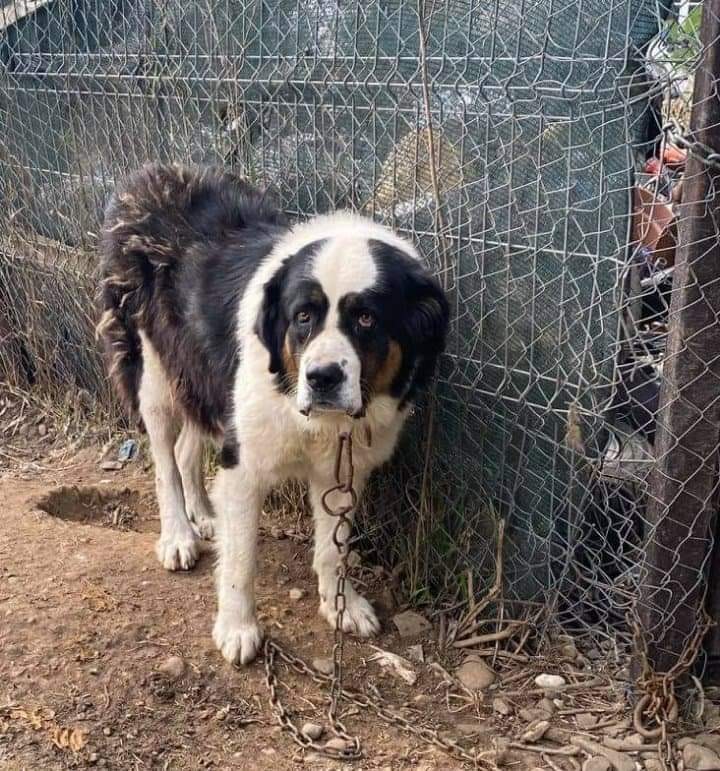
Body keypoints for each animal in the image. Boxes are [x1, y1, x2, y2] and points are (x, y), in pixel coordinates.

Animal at [98, 164, 448, 664]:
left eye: (366, 319)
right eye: (303, 317)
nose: (322, 377)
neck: (317, 420)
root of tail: (150, 176)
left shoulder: (344, 471)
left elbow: (334, 548)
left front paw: (341, 605)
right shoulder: (245, 465)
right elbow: (242, 559)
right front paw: (237, 628)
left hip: (203, 379)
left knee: (186, 449)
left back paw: (205, 514)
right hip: (156, 373)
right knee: (165, 460)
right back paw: (178, 535)